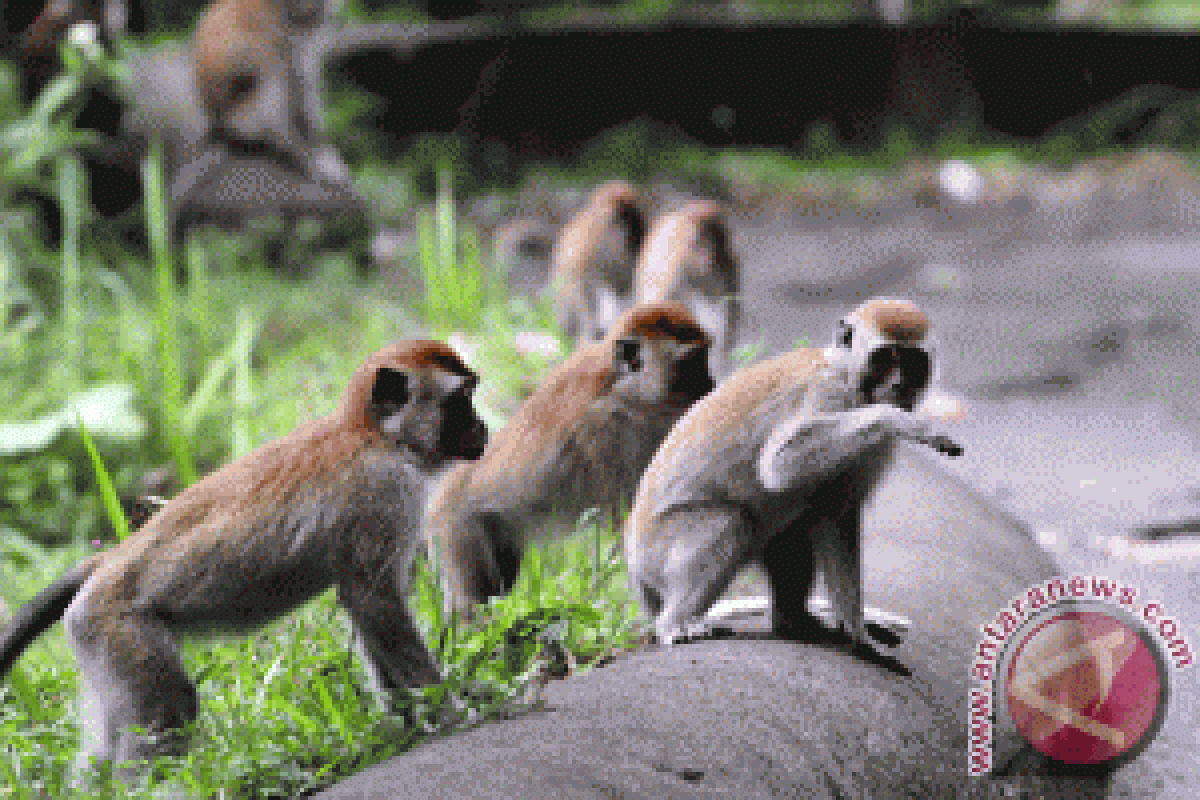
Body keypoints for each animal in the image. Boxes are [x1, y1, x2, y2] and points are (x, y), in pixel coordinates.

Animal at [1, 343, 487, 777]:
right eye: (460, 400)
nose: (482, 427)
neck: (373, 436)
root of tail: (106, 563)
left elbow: (367, 612)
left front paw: (410, 723)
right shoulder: (383, 491)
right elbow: (376, 602)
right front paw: (449, 715)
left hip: (94, 637)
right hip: (116, 626)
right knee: (167, 708)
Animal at [427, 303, 715, 618]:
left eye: (703, 357)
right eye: (691, 364)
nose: (711, 385)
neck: (623, 388)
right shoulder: (605, 430)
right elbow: (629, 523)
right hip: (458, 530)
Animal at [624, 298, 960, 652]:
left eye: (913, 361)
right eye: (884, 358)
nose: (898, 385)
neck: (846, 376)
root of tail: (635, 571)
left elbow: (836, 514)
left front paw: (857, 630)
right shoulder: (828, 394)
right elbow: (779, 464)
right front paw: (898, 419)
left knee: (793, 529)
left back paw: (793, 620)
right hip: (658, 550)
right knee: (732, 523)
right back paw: (675, 623)